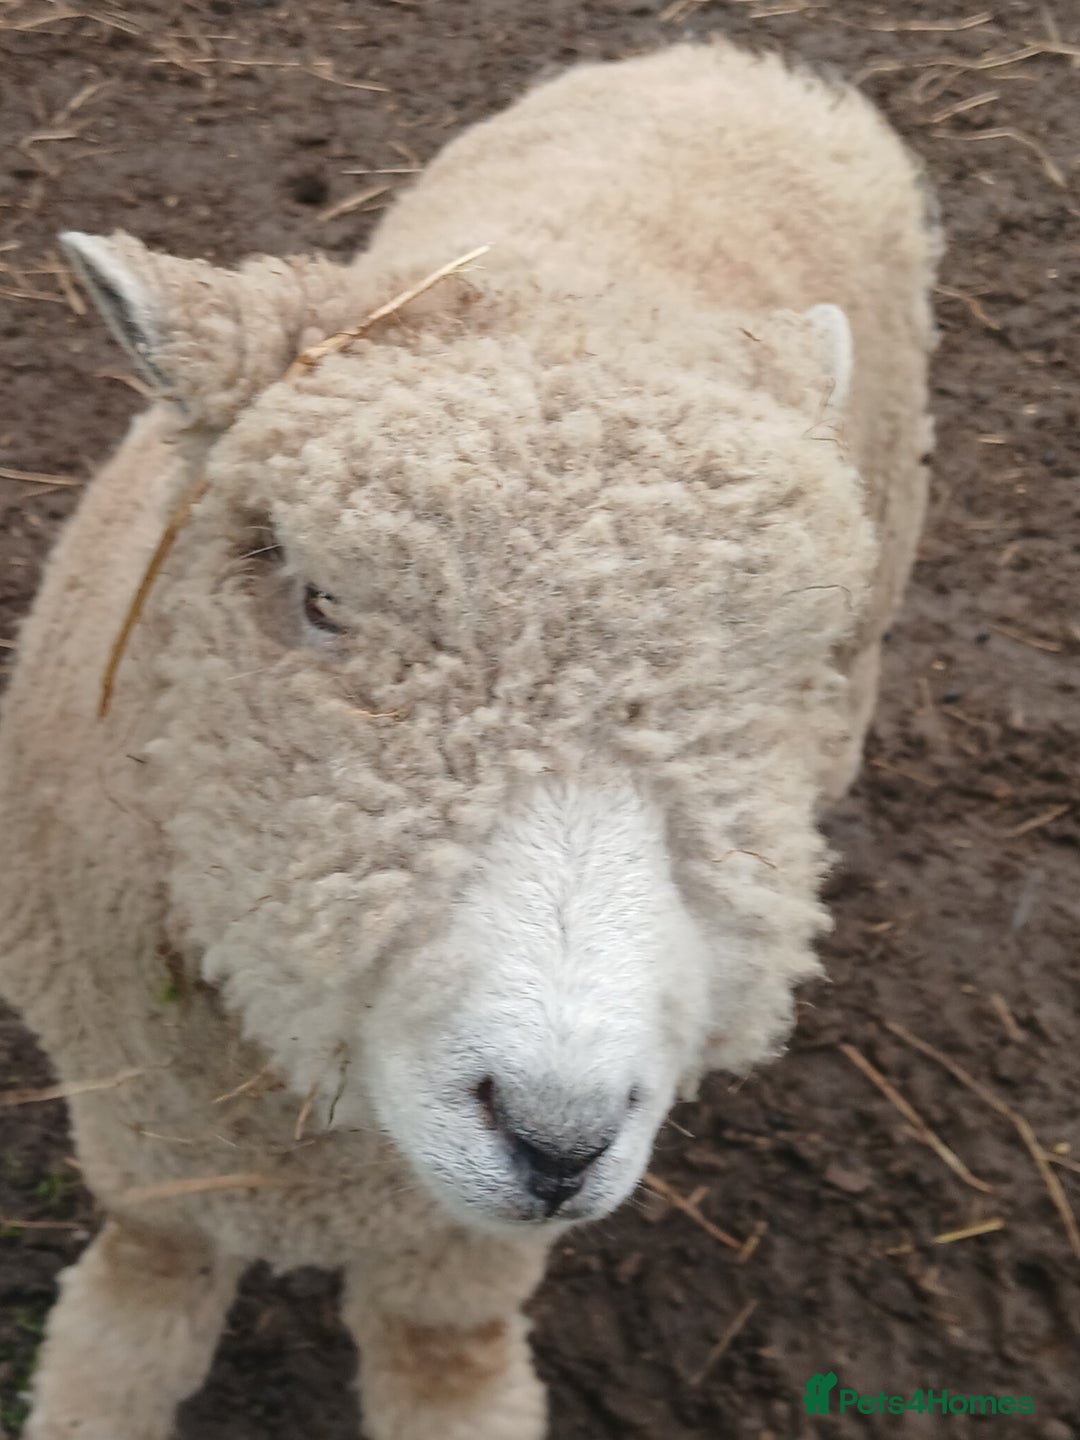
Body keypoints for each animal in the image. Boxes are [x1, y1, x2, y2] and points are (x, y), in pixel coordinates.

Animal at [0, 39, 940, 1440]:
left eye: (779, 659)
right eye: (319, 600)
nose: (556, 1137)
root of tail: (733, 57)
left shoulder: (459, 1246)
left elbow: (441, 1353)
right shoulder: (140, 1127)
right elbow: (144, 1293)